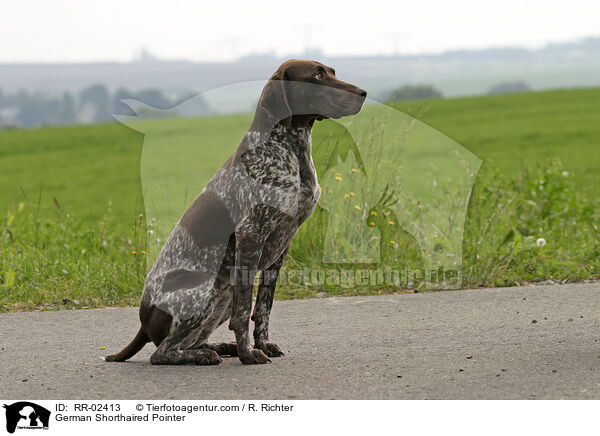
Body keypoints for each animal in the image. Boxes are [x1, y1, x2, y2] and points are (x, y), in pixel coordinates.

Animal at [105, 58, 366, 364]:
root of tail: (143, 323)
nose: (363, 93)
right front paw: (248, 354)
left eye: (332, 71)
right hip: (204, 289)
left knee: (187, 341)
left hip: (223, 293)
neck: (289, 149)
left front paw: (261, 345)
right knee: (162, 352)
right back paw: (205, 355)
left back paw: (218, 347)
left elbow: (263, 308)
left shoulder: (281, 244)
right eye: (317, 75)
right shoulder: (250, 235)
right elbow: (244, 312)